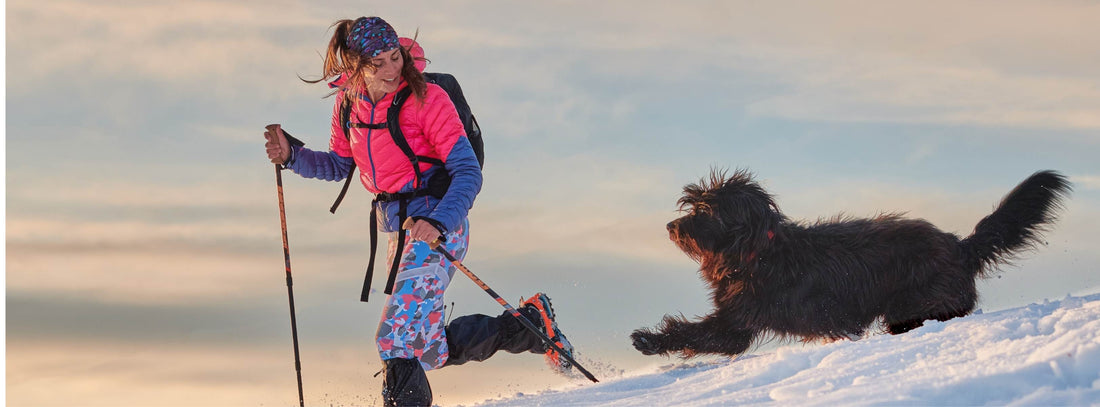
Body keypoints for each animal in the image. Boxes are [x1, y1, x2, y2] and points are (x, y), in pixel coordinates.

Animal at [633, 168, 1069, 356]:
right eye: (693, 206)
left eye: (705, 211)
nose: (671, 226)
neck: (759, 252)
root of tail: (960, 247)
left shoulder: (737, 320)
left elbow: (697, 334)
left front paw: (648, 340)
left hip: (919, 303)